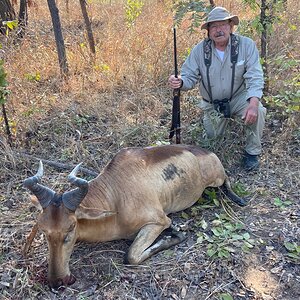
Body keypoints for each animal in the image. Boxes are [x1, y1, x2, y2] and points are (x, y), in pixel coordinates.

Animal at [24, 145, 246, 288]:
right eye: (43, 229)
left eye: (70, 227)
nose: (56, 282)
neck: (116, 195)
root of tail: (207, 152)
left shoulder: (159, 221)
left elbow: (131, 256)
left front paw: (176, 233)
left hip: (216, 179)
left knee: (226, 180)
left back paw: (238, 198)